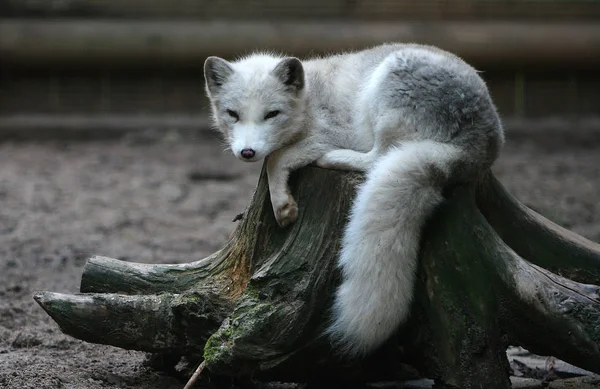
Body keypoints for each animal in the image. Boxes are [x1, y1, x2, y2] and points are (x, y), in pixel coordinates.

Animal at [204, 44, 504, 356]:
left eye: (272, 114)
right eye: (233, 114)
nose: (247, 152)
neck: (309, 100)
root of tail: (479, 147)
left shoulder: (333, 133)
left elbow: (276, 159)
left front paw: (282, 204)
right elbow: (274, 158)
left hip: (386, 89)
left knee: (379, 157)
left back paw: (334, 158)